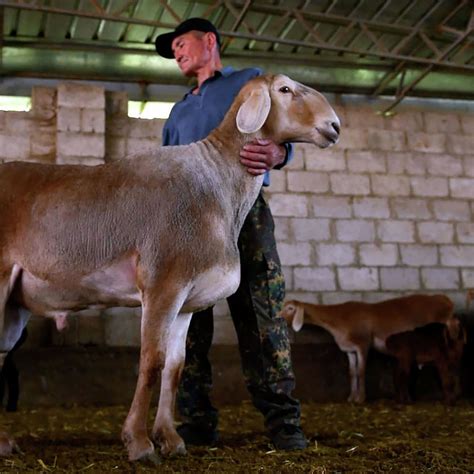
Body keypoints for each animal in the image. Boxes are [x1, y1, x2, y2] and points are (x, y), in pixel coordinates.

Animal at [282, 296, 456, 404]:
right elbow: (352, 373)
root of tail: (444, 300)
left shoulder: (362, 345)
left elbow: (361, 371)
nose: (278, 317)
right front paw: (351, 398)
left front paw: (361, 398)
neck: (338, 318)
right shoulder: (350, 350)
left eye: (290, 308)